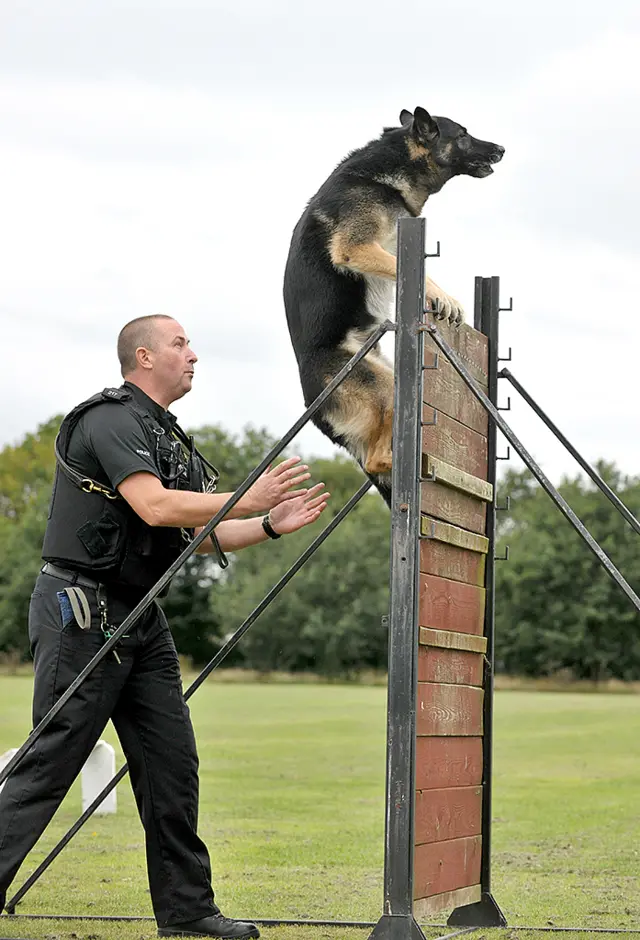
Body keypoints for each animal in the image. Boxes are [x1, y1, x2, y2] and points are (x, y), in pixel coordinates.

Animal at [282, 107, 502, 506]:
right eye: (463, 136)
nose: (502, 149)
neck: (388, 176)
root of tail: (315, 408)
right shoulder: (357, 247)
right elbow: (418, 270)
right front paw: (444, 297)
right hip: (383, 386)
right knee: (376, 458)